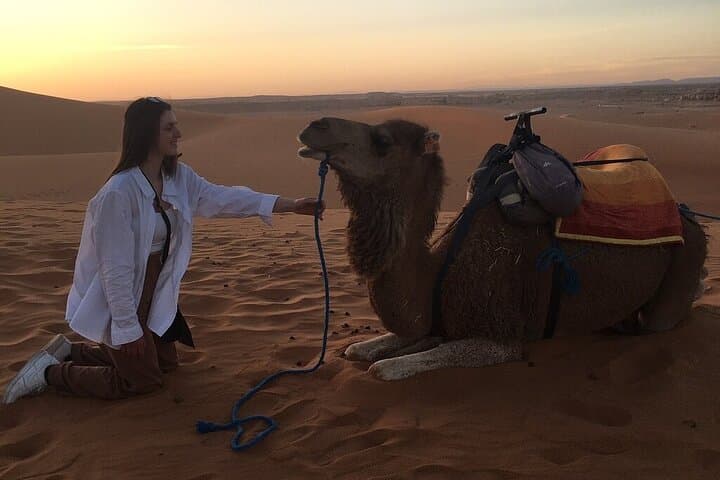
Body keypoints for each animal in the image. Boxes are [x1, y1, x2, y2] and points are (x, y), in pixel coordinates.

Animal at [297, 117, 707, 381]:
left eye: (383, 140)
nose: (314, 126)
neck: (438, 271)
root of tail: (685, 213)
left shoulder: (502, 338)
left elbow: (384, 368)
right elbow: (360, 350)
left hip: (682, 268)